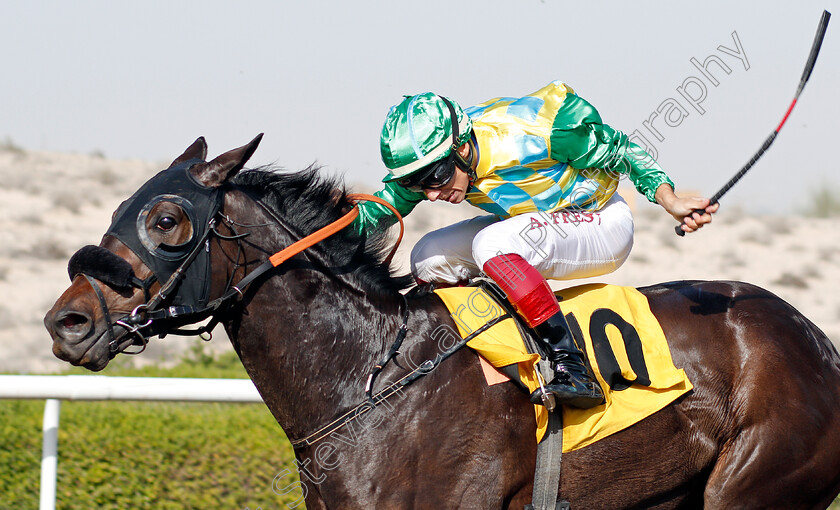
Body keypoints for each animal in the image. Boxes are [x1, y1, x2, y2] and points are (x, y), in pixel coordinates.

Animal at [42, 136, 840, 510]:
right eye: (120, 211)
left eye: (166, 219)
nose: (67, 322)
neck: (370, 379)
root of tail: (817, 340)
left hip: (755, 483)